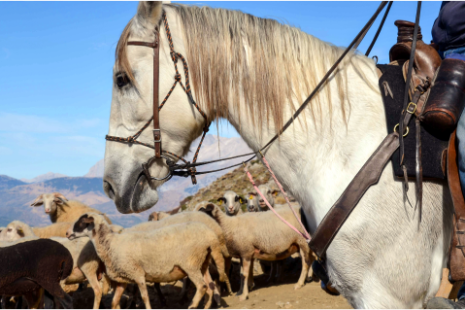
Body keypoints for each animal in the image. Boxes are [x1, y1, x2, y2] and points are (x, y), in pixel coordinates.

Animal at [67, 213, 230, 310]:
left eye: (81, 222)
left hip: (190, 264)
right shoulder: (123, 279)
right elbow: (114, 302)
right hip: (202, 263)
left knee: (202, 286)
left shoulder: (138, 274)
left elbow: (145, 298)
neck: (110, 243)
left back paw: (192, 306)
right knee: (210, 286)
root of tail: (210, 235)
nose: (67, 233)